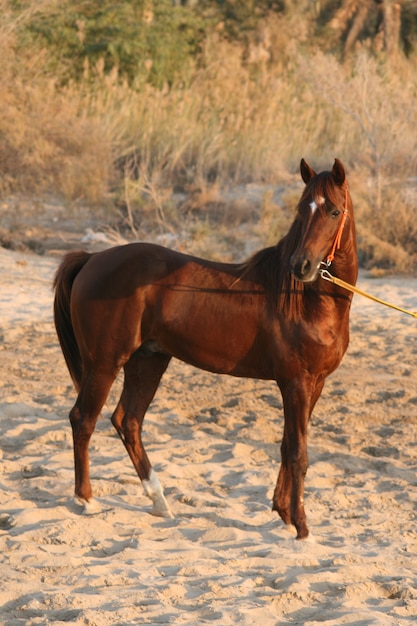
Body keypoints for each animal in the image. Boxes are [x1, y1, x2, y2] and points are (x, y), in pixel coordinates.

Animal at [52, 158, 358, 540]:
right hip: (105, 363)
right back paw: (87, 500)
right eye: (302, 210)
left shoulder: (313, 384)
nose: (301, 266)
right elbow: (299, 453)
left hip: (148, 360)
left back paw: (159, 502)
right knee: (84, 419)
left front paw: (284, 513)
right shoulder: (296, 383)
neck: (307, 301)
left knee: (128, 420)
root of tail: (92, 258)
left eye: (333, 211)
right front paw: (301, 527)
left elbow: (288, 445)